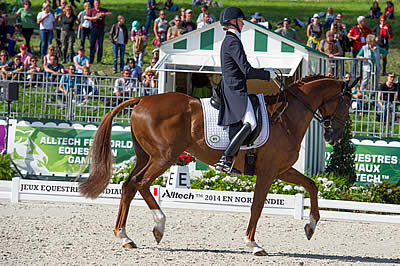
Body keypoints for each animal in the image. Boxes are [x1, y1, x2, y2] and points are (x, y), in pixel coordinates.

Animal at [79, 74, 354, 256]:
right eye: (346, 103)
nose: (335, 137)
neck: (286, 117)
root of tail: (142, 100)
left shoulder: (282, 170)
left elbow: (312, 186)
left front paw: (311, 226)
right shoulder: (267, 172)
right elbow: (257, 207)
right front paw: (253, 244)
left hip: (147, 156)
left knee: (128, 186)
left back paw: (124, 237)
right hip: (164, 157)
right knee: (141, 183)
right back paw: (159, 225)